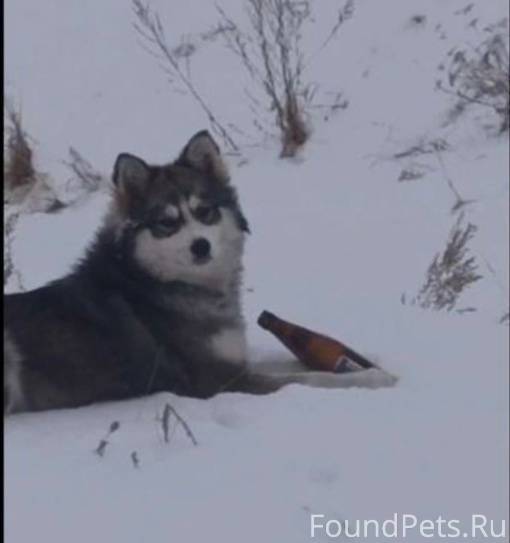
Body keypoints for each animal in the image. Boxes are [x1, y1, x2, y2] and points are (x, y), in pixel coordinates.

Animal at [2, 134, 394, 414]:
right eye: (167, 223)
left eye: (205, 211)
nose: (200, 246)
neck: (155, 285)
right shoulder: (220, 381)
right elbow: (309, 379)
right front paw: (372, 378)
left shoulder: (235, 360)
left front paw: (361, 362)